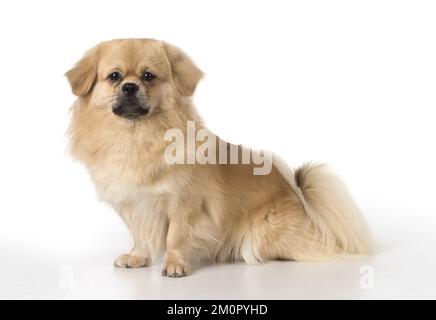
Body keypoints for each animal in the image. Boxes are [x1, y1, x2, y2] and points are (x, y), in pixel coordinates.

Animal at [66, 38, 372, 278]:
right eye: (114, 76)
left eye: (148, 76)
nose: (129, 87)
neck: (136, 138)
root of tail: (301, 199)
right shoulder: (134, 204)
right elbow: (140, 234)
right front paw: (138, 257)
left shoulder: (183, 203)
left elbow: (175, 235)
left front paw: (175, 265)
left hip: (264, 233)